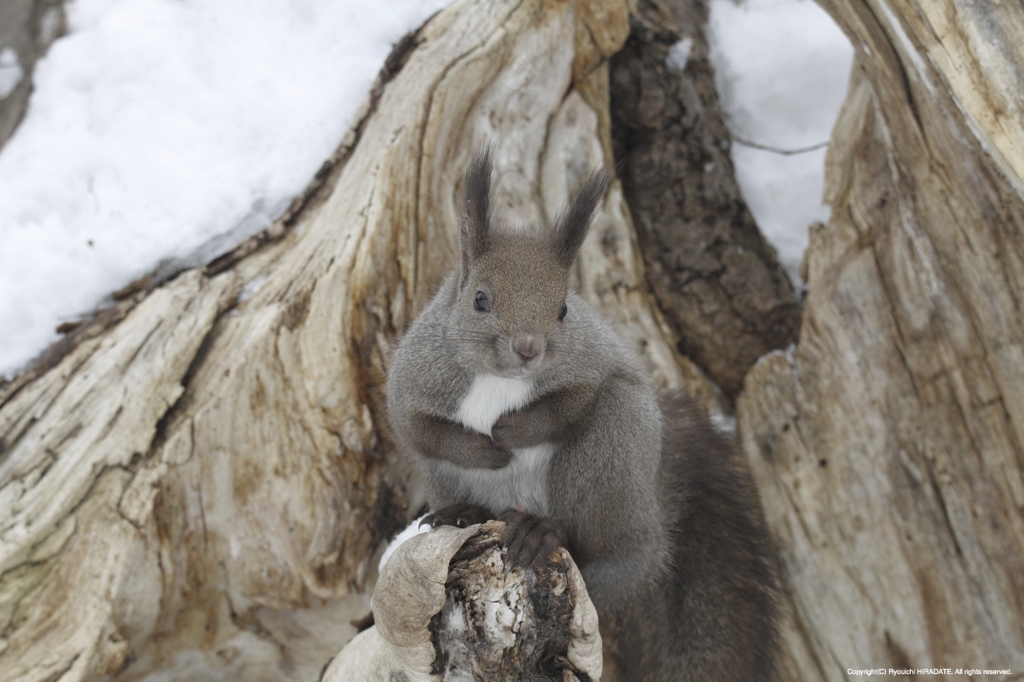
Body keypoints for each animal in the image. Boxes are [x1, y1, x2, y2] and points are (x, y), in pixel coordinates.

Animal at [387, 150, 778, 679]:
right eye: (480, 299)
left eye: (563, 310)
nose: (528, 348)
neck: (500, 379)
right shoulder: (414, 379)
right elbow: (421, 431)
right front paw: (483, 450)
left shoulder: (592, 362)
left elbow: (574, 403)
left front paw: (513, 431)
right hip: (446, 478)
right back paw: (465, 512)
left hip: (612, 452)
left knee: (590, 546)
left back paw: (543, 531)